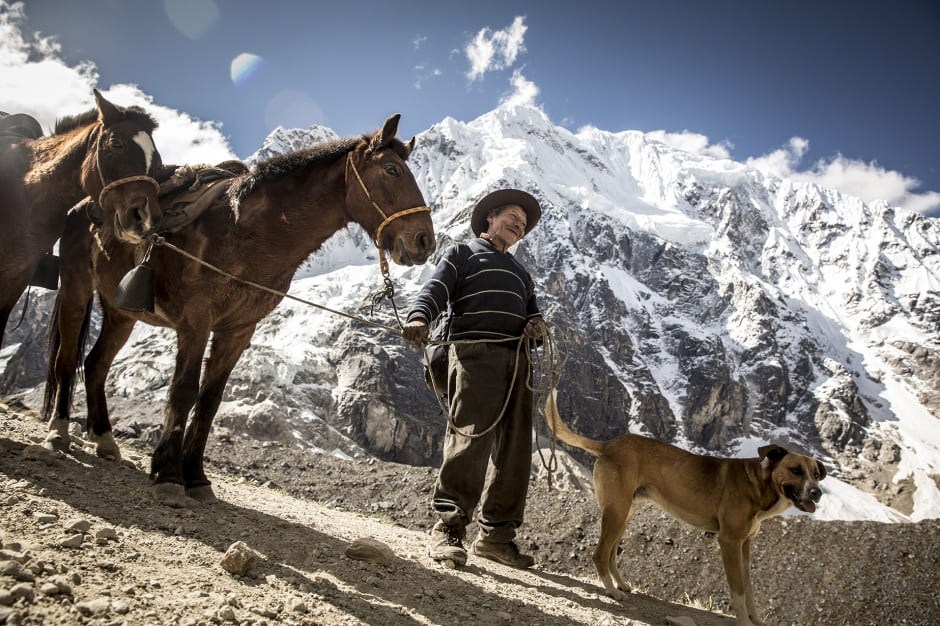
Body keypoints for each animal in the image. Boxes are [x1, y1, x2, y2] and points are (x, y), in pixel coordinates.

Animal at [46, 113, 436, 508]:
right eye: (391, 169)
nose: (424, 242)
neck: (249, 233)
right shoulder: (196, 321)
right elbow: (183, 391)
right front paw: (168, 473)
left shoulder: (238, 330)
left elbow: (210, 400)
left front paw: (196, 478)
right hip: (76, 291)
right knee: (67, 357)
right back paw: (58, 431)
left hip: (121, 313)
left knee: (95, 363)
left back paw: (104, 440)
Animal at [540, 392, 828, 620]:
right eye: (795, 470)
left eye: (816, 473)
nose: (817, 493)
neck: (758, 483)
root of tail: (610, 443)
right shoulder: (729, 541)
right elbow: (737, 592)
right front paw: (744, 622)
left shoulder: (745, 545)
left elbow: (749, 592)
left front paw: (756, 620)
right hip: (616, 513)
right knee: (600, 554)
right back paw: (612, 592)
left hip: (624, 515)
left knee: (610, 553)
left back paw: (621, 585)